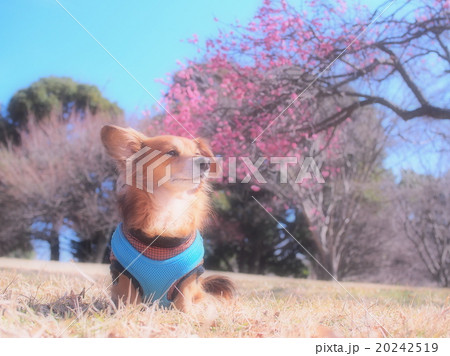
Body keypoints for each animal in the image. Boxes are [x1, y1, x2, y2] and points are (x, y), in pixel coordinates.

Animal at [100, 125, 234, 312]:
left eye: (197, 153)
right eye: (172, 152)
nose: (205, 163)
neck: (169, 207)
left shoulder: (190, 275)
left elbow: (184, 301)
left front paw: (186, 314)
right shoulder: (123, 273)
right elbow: (129, 299)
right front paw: (127, 313)